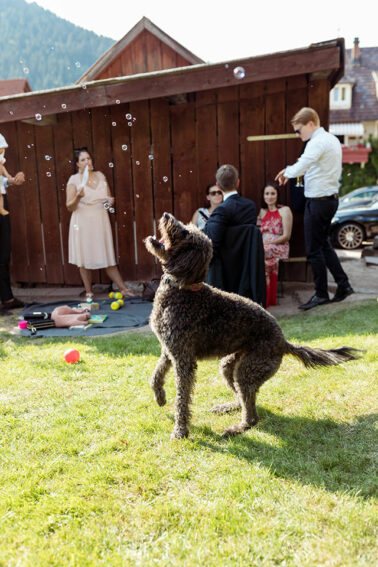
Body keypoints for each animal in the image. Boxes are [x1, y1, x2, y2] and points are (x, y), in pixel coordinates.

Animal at [145, 213, 360, 440]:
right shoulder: (169, 351)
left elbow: (182, 398)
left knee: (252, 416)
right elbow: (156, 376)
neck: (182, 289)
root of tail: (284, 342)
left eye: (185, 233)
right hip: (229, 365)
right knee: (242, 399)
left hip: (247, 371)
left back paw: (237, 428)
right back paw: (228, 407)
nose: (166, 215)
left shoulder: (184, 360)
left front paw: (180, 430)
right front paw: (160, 397)